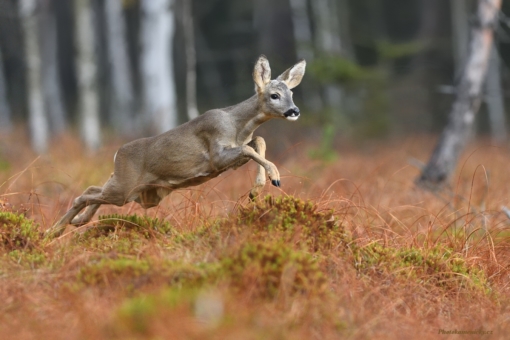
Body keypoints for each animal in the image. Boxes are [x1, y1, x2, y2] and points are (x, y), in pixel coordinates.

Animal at [47, 55, 304, 236]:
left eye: (291, 93)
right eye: (274, 95)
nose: (294, 111)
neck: (237, 125)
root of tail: (117, 153)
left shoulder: (231, 156)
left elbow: (258, 141)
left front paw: (256, 189)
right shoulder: (216, 154)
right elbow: (249, 148)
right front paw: (274, 177)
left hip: (142, 195)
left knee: (93, 190)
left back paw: (77, 221)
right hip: (125, 187)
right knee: (85, 194)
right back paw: (53, 230)